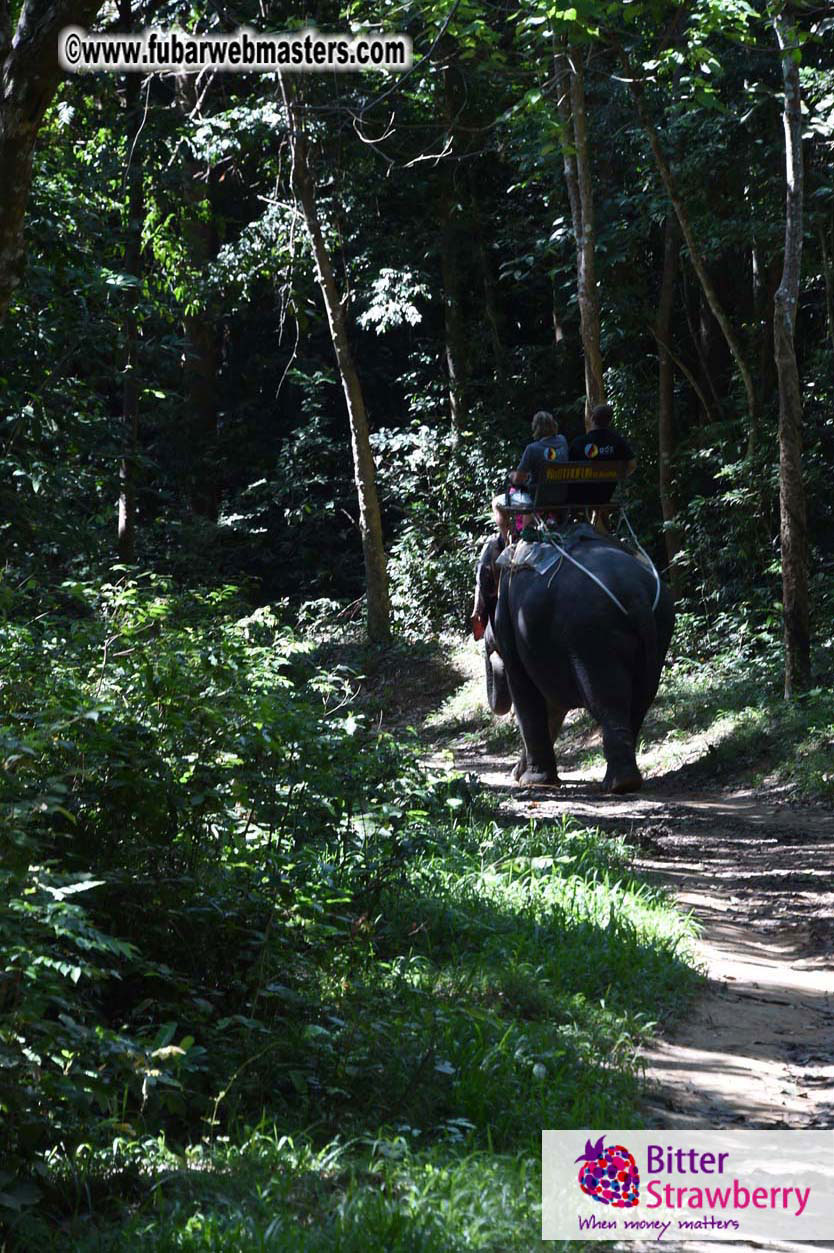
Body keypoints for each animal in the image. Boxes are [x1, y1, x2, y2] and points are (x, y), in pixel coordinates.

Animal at [480, 523, 676, 796]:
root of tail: (636, 595)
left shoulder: (513, 626)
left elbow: (526, 693)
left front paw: (531, 781)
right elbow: (552, 706)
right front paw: (520, 775)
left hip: (590, 634)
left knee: (607, 699)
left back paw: (618, 784)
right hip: (659, 628)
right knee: (639, 700)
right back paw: (623, 781)